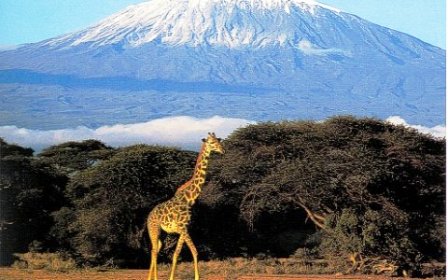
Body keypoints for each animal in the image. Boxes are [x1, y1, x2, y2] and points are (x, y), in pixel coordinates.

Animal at [147, 132, 224, 280]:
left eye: (219, 141)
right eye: (211, 143)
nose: (222, 150)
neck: (189, 199)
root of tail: (148, 217)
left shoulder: (184, 229)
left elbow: (178, 254)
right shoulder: (183, 229)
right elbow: (193, 251)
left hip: (163, 234)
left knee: (156, 249)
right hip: (154, 229)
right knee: (153, 250)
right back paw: (153, 278)